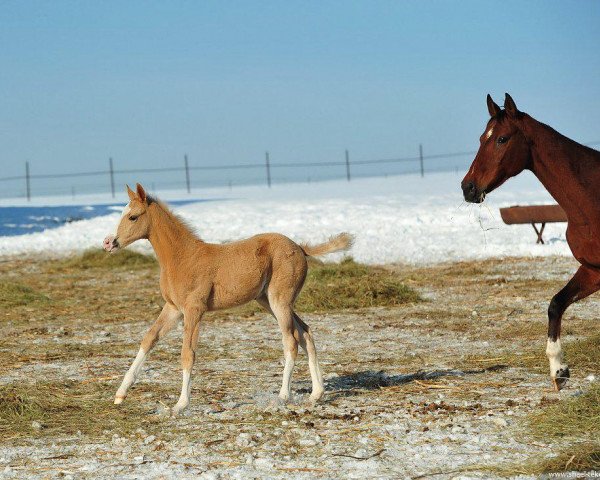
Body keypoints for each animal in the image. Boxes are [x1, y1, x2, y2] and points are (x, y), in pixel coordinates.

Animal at [103, 184, 352, 416]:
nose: (108, 243)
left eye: (133, 216)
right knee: (305, 333)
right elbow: (149, 339)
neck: (182, 258)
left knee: (290, 341)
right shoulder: (173, 308)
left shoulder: (194, 310)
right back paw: (316, 393)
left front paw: (181, 404)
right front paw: (120, 394)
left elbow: (188, 354)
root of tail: (300, 248)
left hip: (280, 301)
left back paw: (282, 396)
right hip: (269, 302)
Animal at [464, 93, 600, 390]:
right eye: (481, 138)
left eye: (502, 139)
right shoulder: (593, 270)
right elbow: (556, 304)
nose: (467, 188)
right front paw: (559, 371)